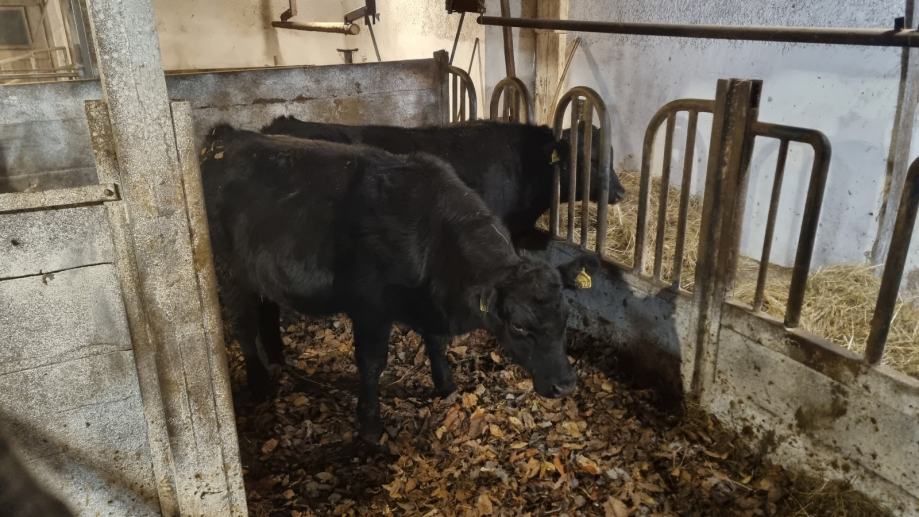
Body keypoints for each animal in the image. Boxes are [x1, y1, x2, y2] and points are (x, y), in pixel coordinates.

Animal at [201, 125, 598, 442]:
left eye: (565, 319)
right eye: (518, 326)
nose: (565, 384)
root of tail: (227, 136)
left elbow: (436, 343)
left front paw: (445, 384)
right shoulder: (371, 309)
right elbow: (372, 363)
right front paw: (370, 425)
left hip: (261, 270)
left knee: (267, 312)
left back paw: (278, 358)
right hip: (228, 270)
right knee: (243, 324)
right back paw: (259, 382)